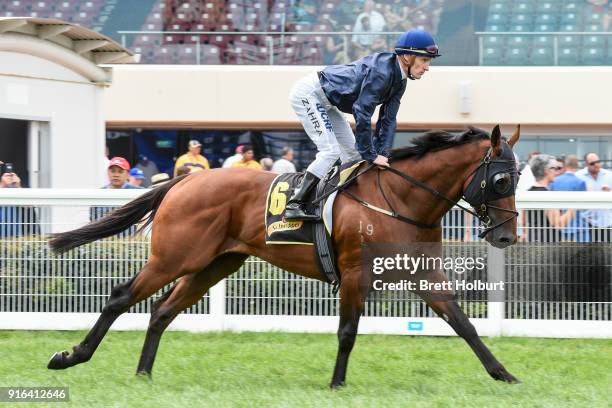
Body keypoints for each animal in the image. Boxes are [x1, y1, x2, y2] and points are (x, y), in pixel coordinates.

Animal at [46, 124, 520, 386]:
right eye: (500, 181)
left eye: (516, 179)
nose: (508, 236)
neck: (400, 198)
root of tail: (185, 179)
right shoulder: (354, 273)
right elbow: (347, 332)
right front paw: (336, 384)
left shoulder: (424, 274)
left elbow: (464, 325)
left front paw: (504, 374)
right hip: (175, 257)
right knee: (121, 297)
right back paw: (70, 356)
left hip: (214, 264)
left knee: (162, 311)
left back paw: (144, 375)